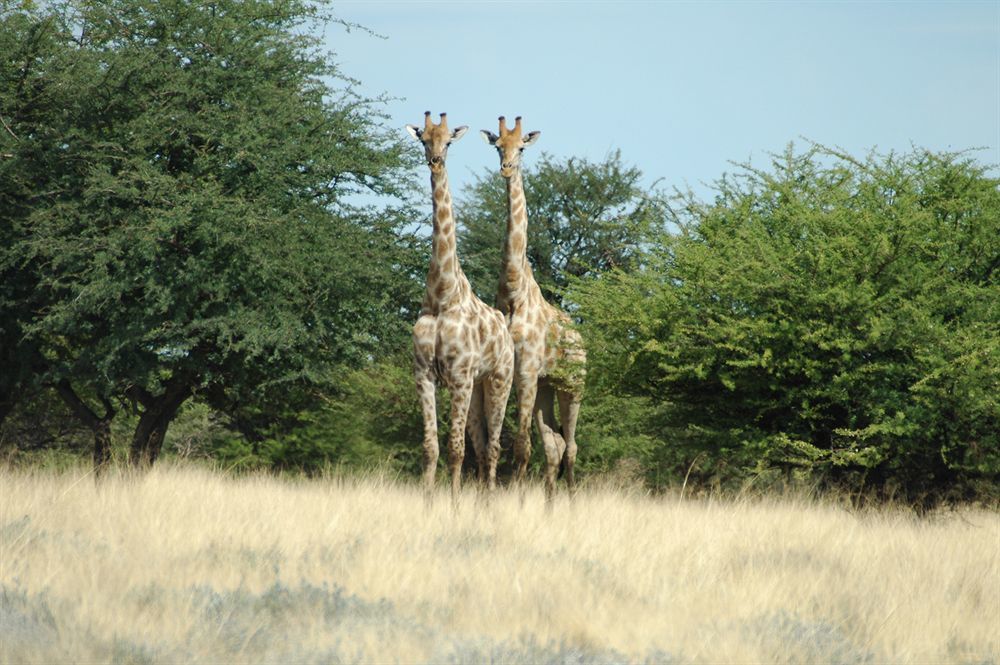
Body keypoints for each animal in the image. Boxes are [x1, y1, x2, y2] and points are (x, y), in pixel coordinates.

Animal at [406, 110, 516, 504]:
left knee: (494, 445)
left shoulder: (459, 375)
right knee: (482, 445)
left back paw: (489, 503)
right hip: (478, 386)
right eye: (423, 139)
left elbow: (455, 448)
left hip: (499, 378)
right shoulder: (423, 373)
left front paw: (452, 506)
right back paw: (482, 502)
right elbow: (430, 446)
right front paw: (426, 503)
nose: (436, 161)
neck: (442, 295)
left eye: (449, 141)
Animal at [482, 115, 584, 504]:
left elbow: (522, 444)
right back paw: (552, 505)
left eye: (522, 148)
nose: (507, 169)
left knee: (571, 445)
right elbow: (511, 441)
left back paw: (571, 504)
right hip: (545, 387)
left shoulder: (525, 369)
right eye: (498, 147)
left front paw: (520, 502)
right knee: (555, 445)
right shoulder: (514, 372)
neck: (513, 294)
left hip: (574, 385)